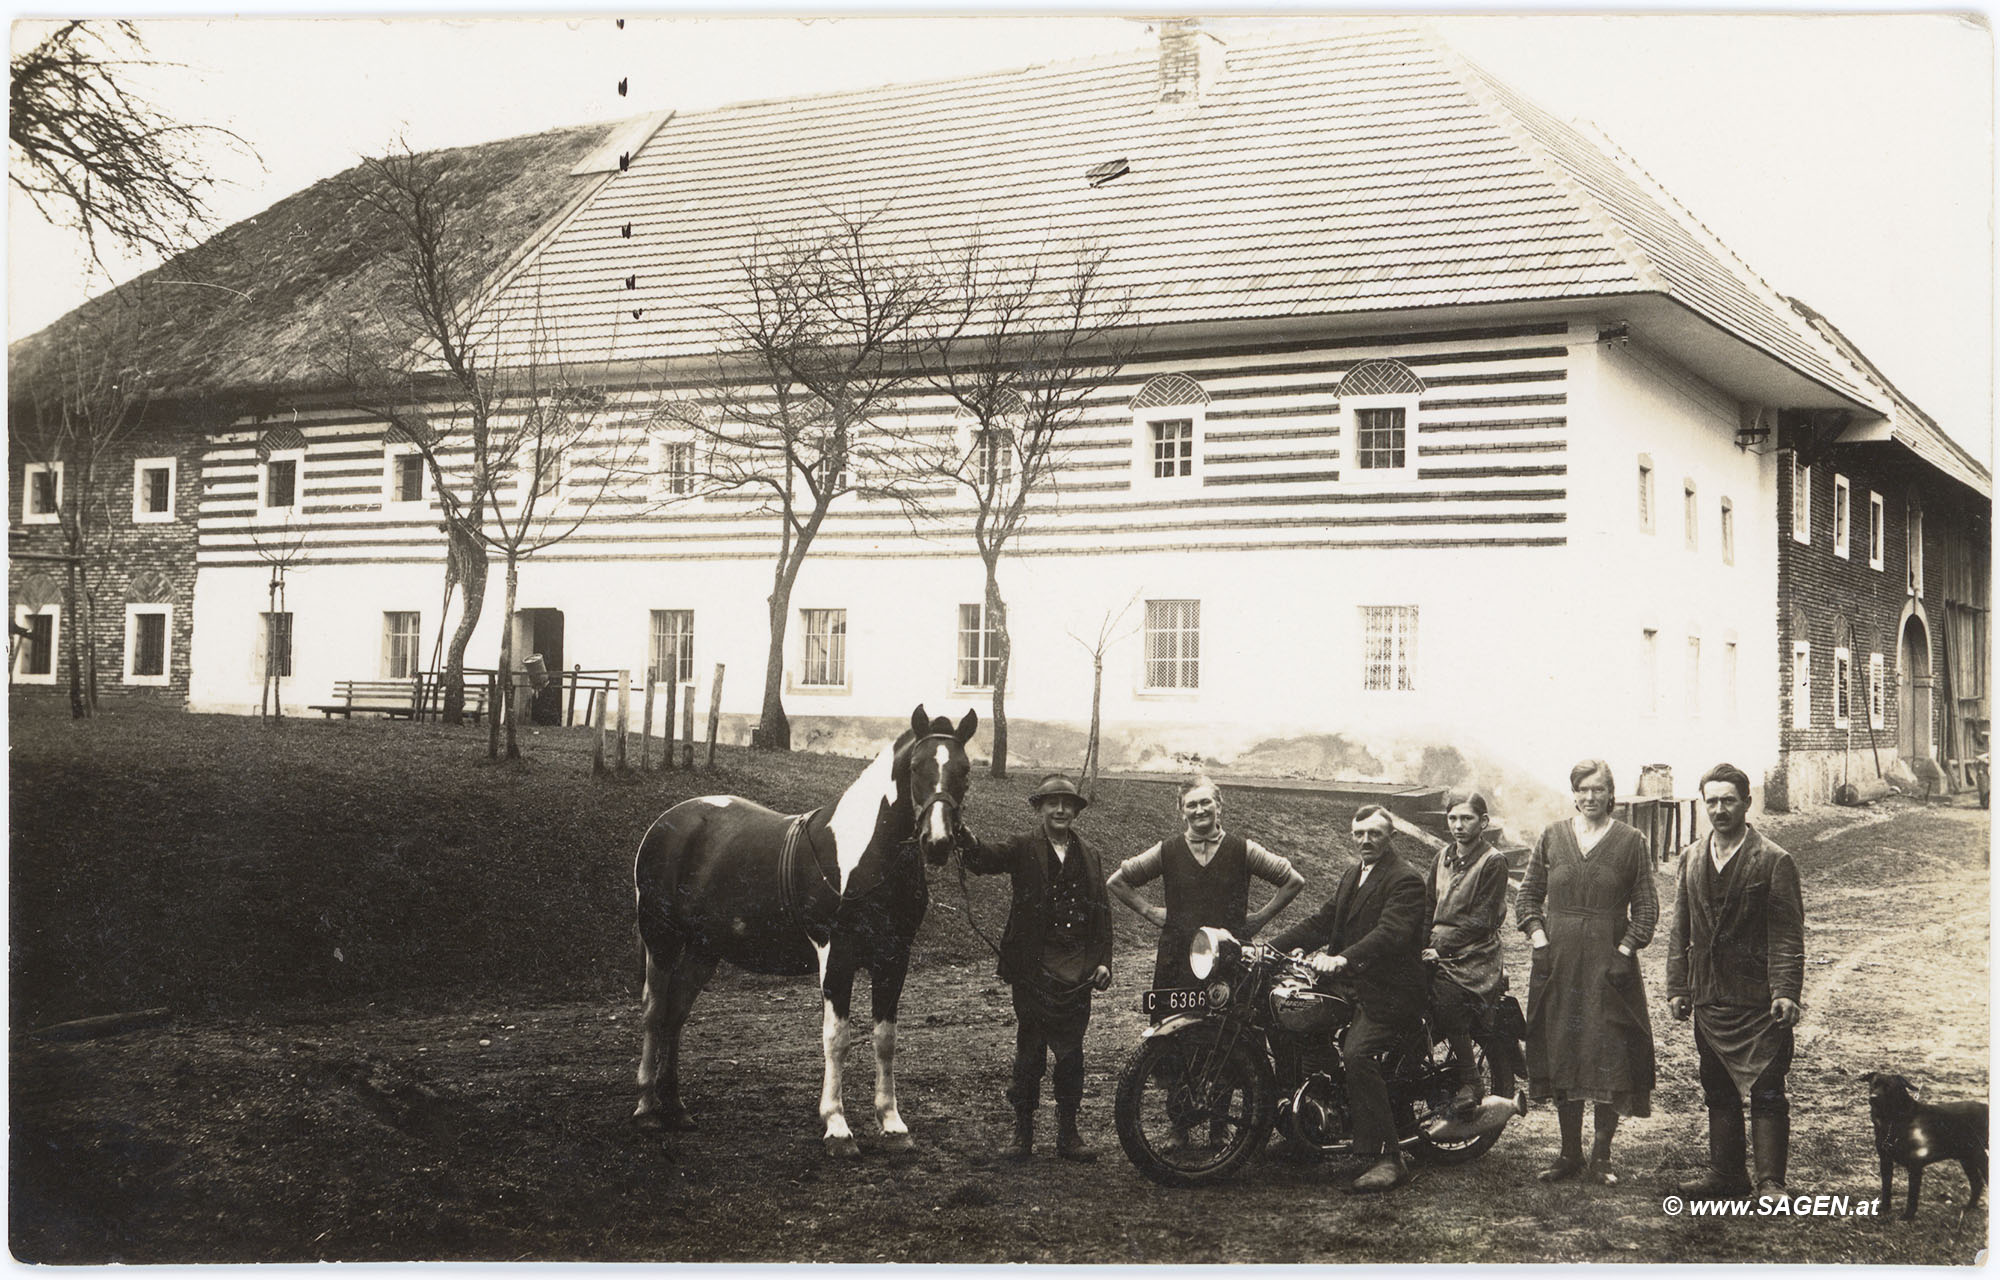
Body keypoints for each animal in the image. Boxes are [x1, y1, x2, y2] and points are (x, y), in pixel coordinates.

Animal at [632, 704, 976, 1152]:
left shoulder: (893, 959)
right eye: (916, 767)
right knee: (654, 1012)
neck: (864, 855)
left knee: (675, 1014)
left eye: (965, 770)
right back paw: (646, 1108)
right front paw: (837, 1127)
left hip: (703, 950)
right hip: (662, 941)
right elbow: (837, 1038)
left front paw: (892, 1123)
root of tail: (665, 823)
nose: (936, 842)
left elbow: (885, 1039)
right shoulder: (837, 958)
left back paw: (676, 1108)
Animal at [1856, 1072, 1984, 1216]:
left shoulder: (1915, 1165)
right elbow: (1886, 1187)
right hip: (1966, 1158)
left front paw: (1908, 1216)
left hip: (1979, 1156)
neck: (1893, 1121)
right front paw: (1885, 1208)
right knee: (1977, 1183)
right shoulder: (1885, 1161)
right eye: (1873, 1085)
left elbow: (1912, 1194)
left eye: (1889, 1087)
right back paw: (1968, 1208)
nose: (1873, 1098)